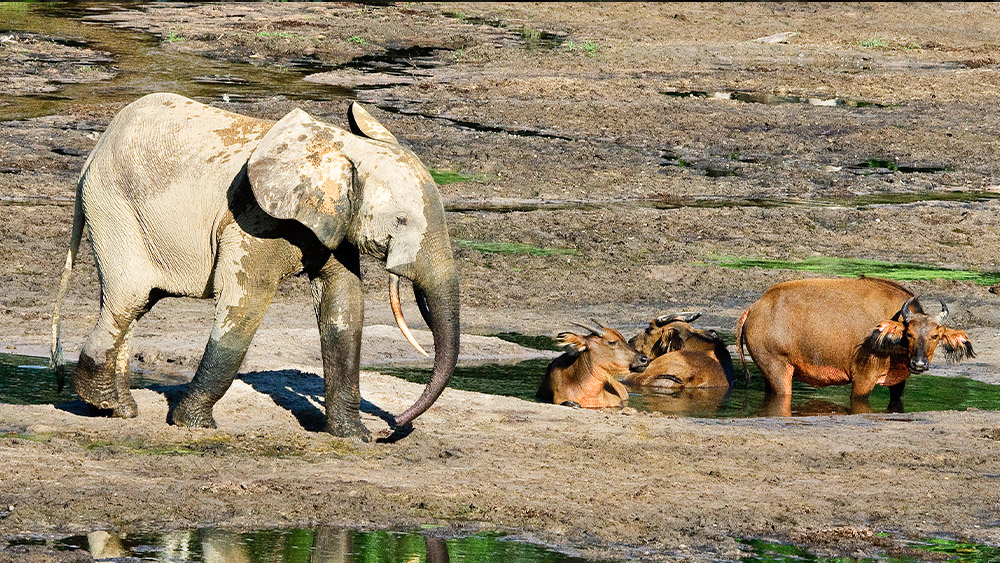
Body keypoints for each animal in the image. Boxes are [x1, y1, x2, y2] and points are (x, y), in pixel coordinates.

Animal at [50, 93, 460, 440]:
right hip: (114, 207)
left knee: (135, 305)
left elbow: (343, 303)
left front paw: (353, 437)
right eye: (401, 221)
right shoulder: (254, 218)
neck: (340, 147)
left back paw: (120, 409)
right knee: (129, 299)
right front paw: (195, 425)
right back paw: (106, 403)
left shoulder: (334, 220)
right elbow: (245, 302)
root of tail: (93, 153)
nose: (392, 428)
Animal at [736, 277, 975, 413]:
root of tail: (755, 307)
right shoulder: (863, 379)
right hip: (778, 371)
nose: (919, 364)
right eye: (909, 333)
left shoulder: (898, 382)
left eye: (936, 335)